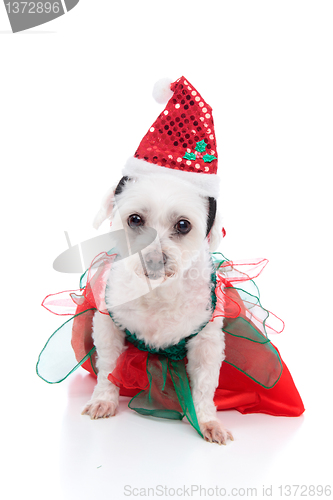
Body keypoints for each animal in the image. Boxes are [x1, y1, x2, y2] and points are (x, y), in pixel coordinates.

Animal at [81, 173, 233, 446]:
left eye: (183, 225)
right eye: (135, 219)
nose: (153, 259)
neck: (158, 291)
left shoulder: (207, 342)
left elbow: (205, 385)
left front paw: (207, 421)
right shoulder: (108, 325)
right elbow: (108, 368)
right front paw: (103, 399)